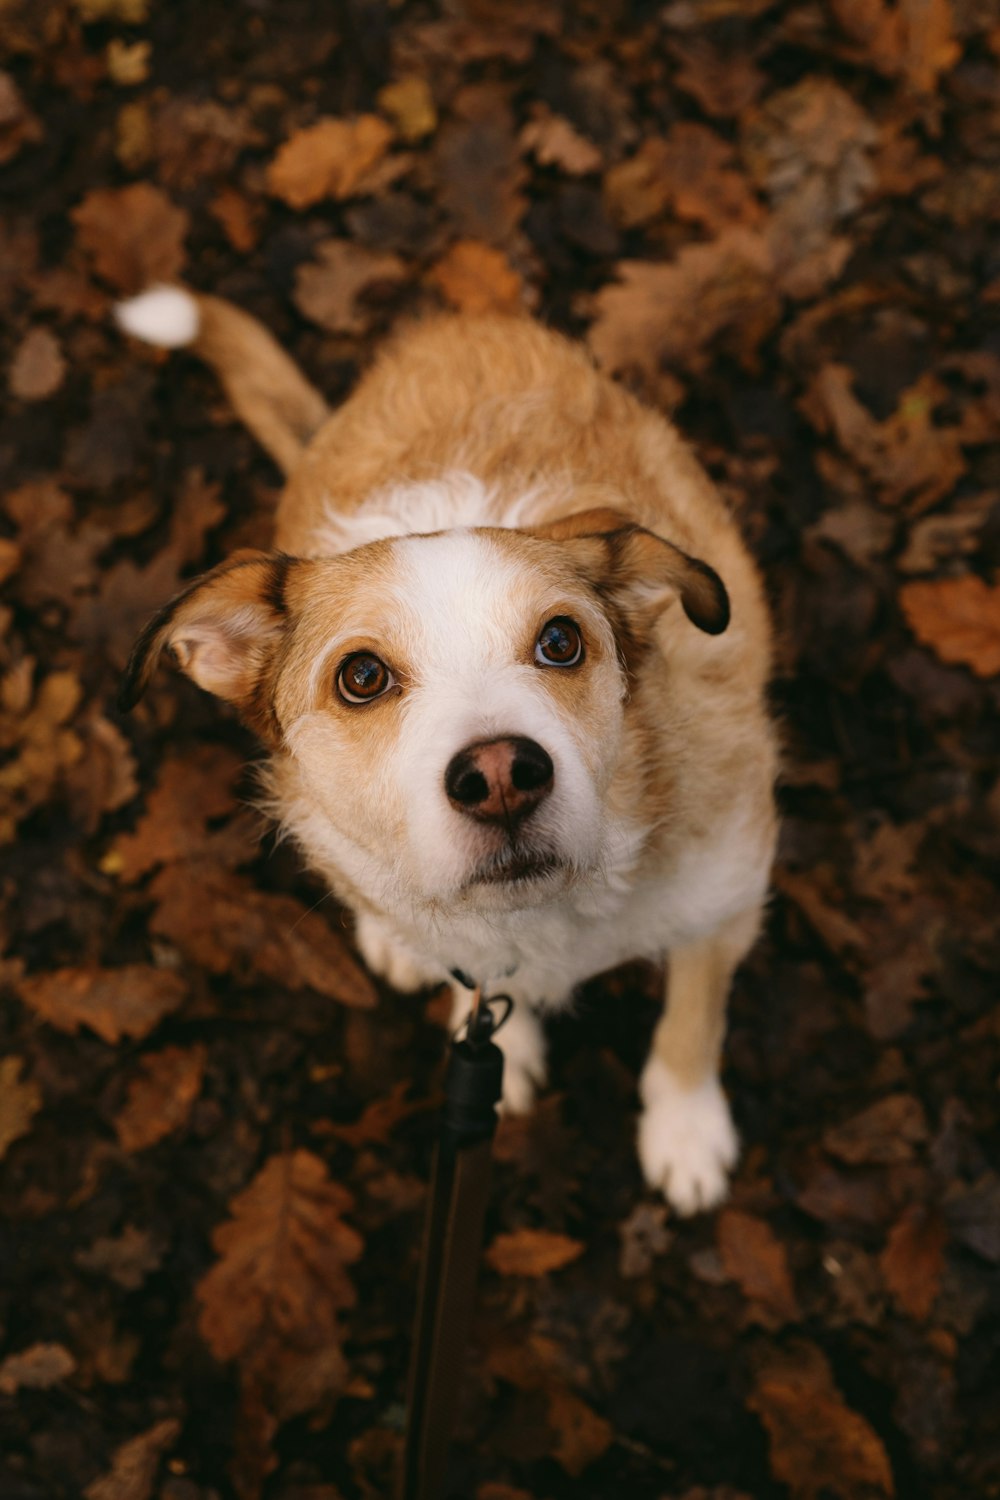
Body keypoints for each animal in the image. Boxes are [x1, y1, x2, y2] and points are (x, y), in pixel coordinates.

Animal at [115, 289, 773, 1218]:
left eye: (562, 640)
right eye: (360, 676)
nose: (501, 778)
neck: (540, 915)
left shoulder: (727, 891)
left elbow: (693, 1016)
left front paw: (685, 1131)